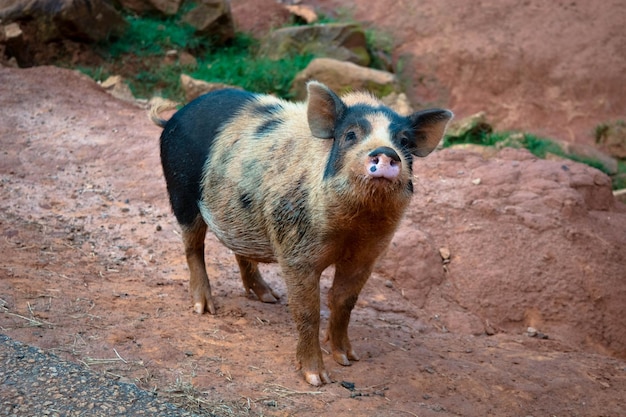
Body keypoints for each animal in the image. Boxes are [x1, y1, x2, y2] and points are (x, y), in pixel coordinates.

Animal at [153, 80, 450, 384]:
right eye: (350, 134)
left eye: (404, 142)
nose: (387, 152)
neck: (353, 226)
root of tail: (175, 117)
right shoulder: (296, 253)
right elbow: (308, 311)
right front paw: (317, 378)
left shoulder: (367, 256)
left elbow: (344, 302)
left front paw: (348, 359)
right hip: (180, 192)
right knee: (193, 247)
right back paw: (205, 308)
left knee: (239, 249)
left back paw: (269, 297)